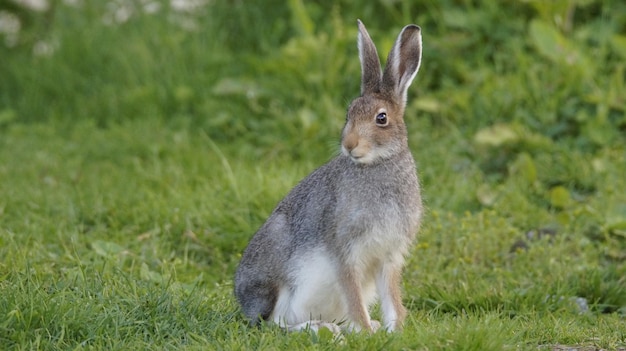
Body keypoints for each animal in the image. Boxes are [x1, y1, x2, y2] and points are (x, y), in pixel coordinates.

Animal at [235, 20, 424, 336]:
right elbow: (353, 293)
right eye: (349, 114)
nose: (349, 144)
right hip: (278, 276)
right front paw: (366, 331)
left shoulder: (388, 256)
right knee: (276, 324)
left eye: (381, 118)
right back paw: (323, 330)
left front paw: (392, 329)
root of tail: (243, 303)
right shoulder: (345, 249)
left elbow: (391, 297)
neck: (377, 165)